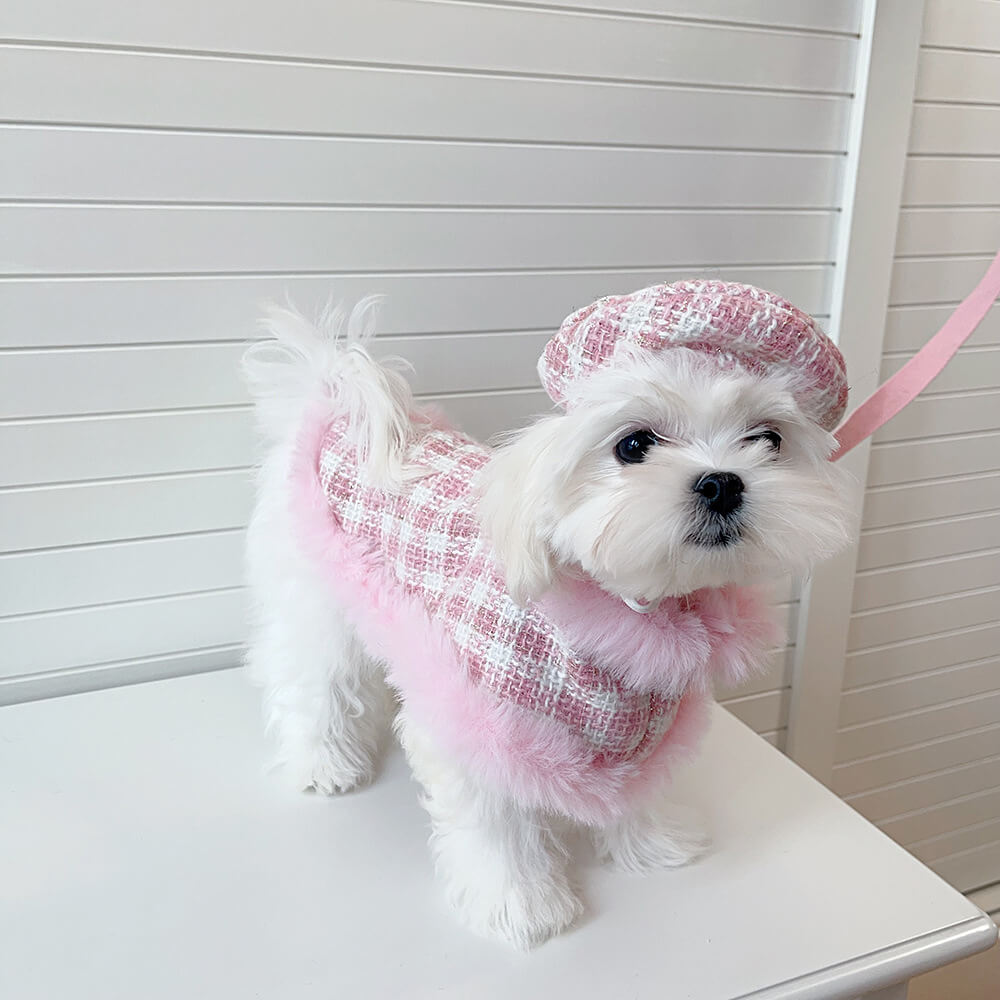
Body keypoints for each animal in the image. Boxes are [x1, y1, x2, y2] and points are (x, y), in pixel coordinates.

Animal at [242, 280, 852, 944]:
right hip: (313, 594)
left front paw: (650, 844)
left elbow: (636, 789)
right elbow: (495, 824)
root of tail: (337, 403)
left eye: (767, 439)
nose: (722, 482)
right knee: (312, 680)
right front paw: (519, 902)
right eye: (633, 444)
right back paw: (325, 763)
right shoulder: (480, 724)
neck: (633, 612)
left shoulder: (639, 733)